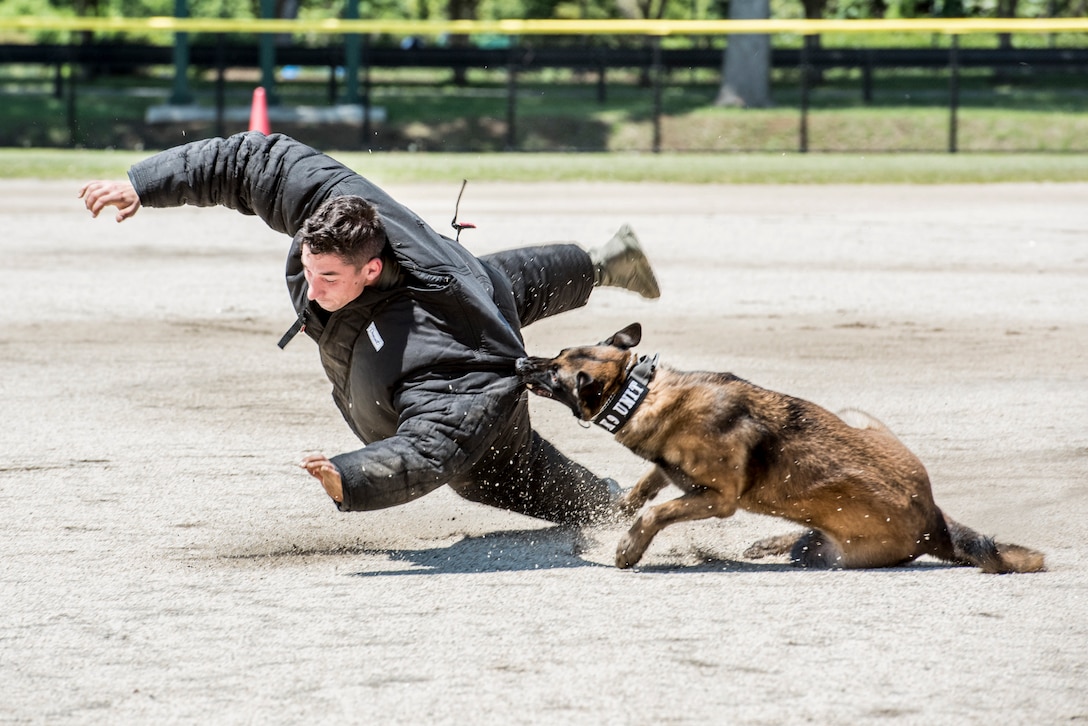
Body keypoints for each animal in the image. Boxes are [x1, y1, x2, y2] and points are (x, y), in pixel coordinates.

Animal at [515, 324, 1044, 574]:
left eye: (555, 372)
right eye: (556, 355)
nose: (521, 362)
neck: (640, 390)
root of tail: (934, 520)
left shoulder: (718, 499)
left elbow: (656, 512)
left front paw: (628, 547)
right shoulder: (671, 469)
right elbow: (644, 488)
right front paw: (612, 513)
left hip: (835, 552)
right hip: (853, 419)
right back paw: (771, 542)